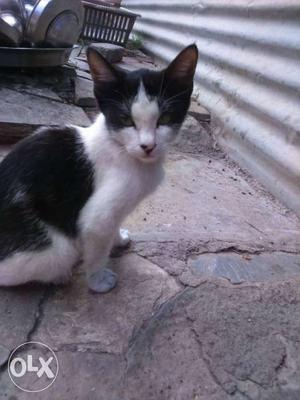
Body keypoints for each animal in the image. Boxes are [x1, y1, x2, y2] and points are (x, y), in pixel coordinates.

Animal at [0, 44, 199, 294]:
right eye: (126, 119)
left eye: (165, 117)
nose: (148, 146)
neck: (122, 150)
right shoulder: (97, 219)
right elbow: (97, 246)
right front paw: (98, 281)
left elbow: (113, 226)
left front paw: (119, 239)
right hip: (56, 250)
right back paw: (59, 276)